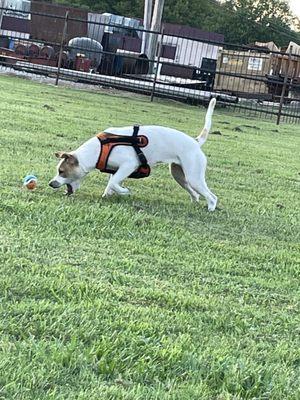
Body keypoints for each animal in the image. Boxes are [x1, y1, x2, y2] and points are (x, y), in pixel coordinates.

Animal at [49, 98, 218, 211]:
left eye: (61, 171)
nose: (51, 183)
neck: (98, 150)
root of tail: (196, 142)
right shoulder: (116, 169)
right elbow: (111, 182)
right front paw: (107, 195)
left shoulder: (129, 165)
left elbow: (113, 182)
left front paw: (124, 192)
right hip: (179, 175)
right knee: (194, 193)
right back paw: (195, 202)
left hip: (194, 176)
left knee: (212, 196)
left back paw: (210, 209)